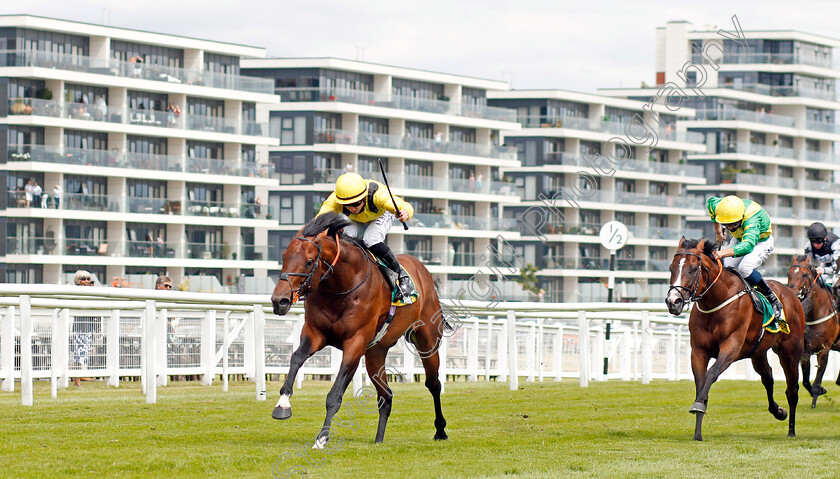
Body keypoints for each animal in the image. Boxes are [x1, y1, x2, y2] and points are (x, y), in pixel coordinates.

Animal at [272, 214, 450, 446]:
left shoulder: (355, 343)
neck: (340, 288)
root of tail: (423, 269)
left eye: (309, 261)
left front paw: (322, 438)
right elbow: (296, 358)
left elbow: (335, 394)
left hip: (427, 340)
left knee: (433, 384)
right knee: (386, 396)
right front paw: (282, 404)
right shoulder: (315, 333)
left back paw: (440, 430)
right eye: (284, 256)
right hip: (375, 353)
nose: (279, 301)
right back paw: (379, 440)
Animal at [668, 239, 804, 442]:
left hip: (790, 352)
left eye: (692, 269)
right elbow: (701, 382)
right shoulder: (698, 351)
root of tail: (791, 294)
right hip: (758, 353)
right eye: (671, 268)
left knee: (792, 389)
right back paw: (778, 411)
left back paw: (792, 431)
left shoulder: (731, 347)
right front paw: (697, 431)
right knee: (768, 377)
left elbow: (711, 374)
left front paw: (699, 405)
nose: (673, 301)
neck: (717, 300)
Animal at [788, 255, 840, 408]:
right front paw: (820, 390)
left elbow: (817, 381)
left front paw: (817, 393)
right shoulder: (806, 350)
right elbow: (805, 381)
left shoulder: (824, 350)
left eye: (805, 275)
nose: (793, 293)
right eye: (788, 273)